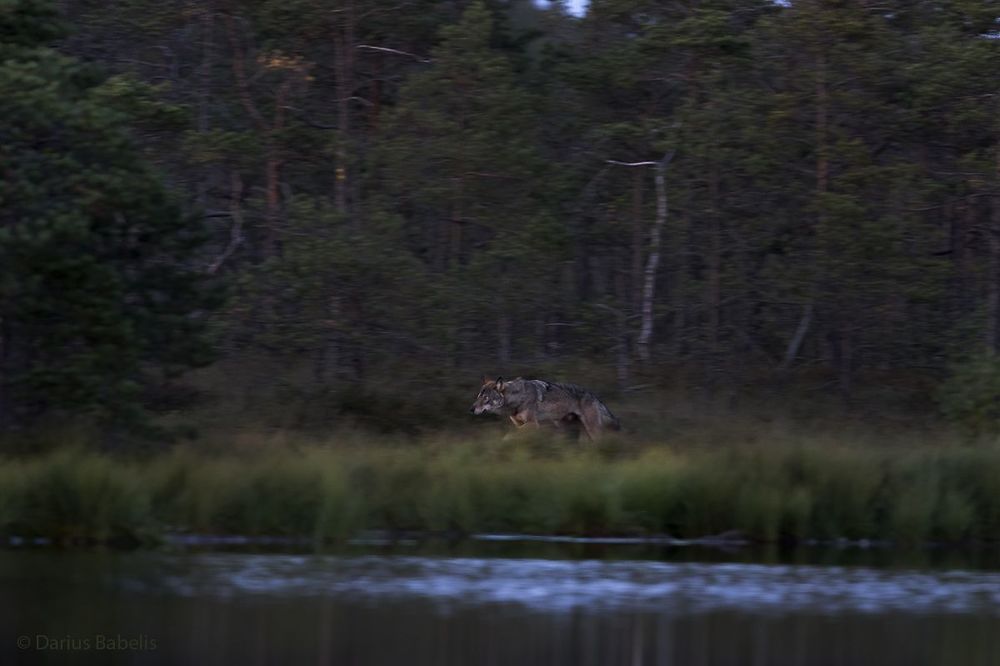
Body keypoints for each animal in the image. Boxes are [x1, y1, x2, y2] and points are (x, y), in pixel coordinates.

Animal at [470, 376, 621, 440]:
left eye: (485, 398)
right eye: (478, 397)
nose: (471, 409)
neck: (517, 398)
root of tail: (594, 396)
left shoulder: (532, 424)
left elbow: (510, 435)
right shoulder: (520, 423)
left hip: (592, 429)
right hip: (566, 428)